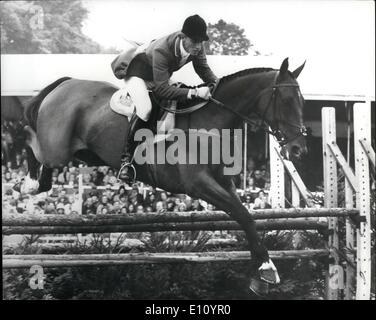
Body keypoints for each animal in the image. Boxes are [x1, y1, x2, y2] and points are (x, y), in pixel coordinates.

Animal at [15, 57, 308, 296]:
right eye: (286, 101)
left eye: (303, 102)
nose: (299, 149)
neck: (211, 121)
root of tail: (65, 83)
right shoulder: (198, 185)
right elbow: (243, 214)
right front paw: (267, 268)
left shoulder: (223, 183)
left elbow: (244, 216)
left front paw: (260, 272)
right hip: (57, 149)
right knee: (30, 136)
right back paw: (28, 183)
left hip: (86, 153)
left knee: (46, 166)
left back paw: (38, 182)